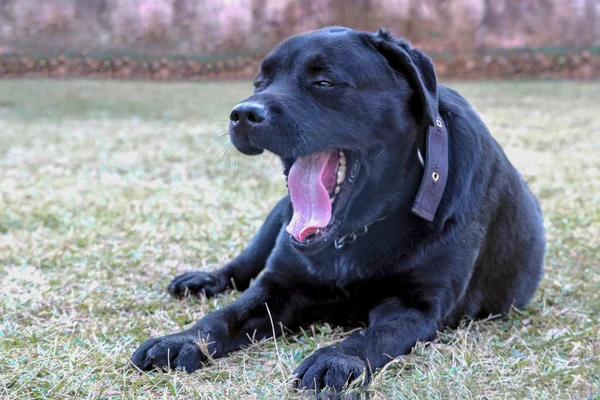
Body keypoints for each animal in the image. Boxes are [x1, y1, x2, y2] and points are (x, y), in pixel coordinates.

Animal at [130, 27, 544, 394]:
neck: (353, 234)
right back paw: (203, 280)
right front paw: (181, 340)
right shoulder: (278, 284)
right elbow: (226, 314)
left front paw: (337, 359)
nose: (244, 113)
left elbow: (375, 335)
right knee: (241, 266)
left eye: (324, 82)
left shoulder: (417, 307)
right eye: (259, 83)